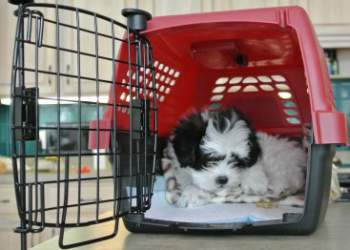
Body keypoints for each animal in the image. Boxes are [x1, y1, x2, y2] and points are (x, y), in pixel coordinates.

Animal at [161, 108, 306, 208]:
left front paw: (254, 183)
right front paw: (192, 193)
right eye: (208, 161)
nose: (223, 179)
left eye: (236, 161)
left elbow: (253, 165)